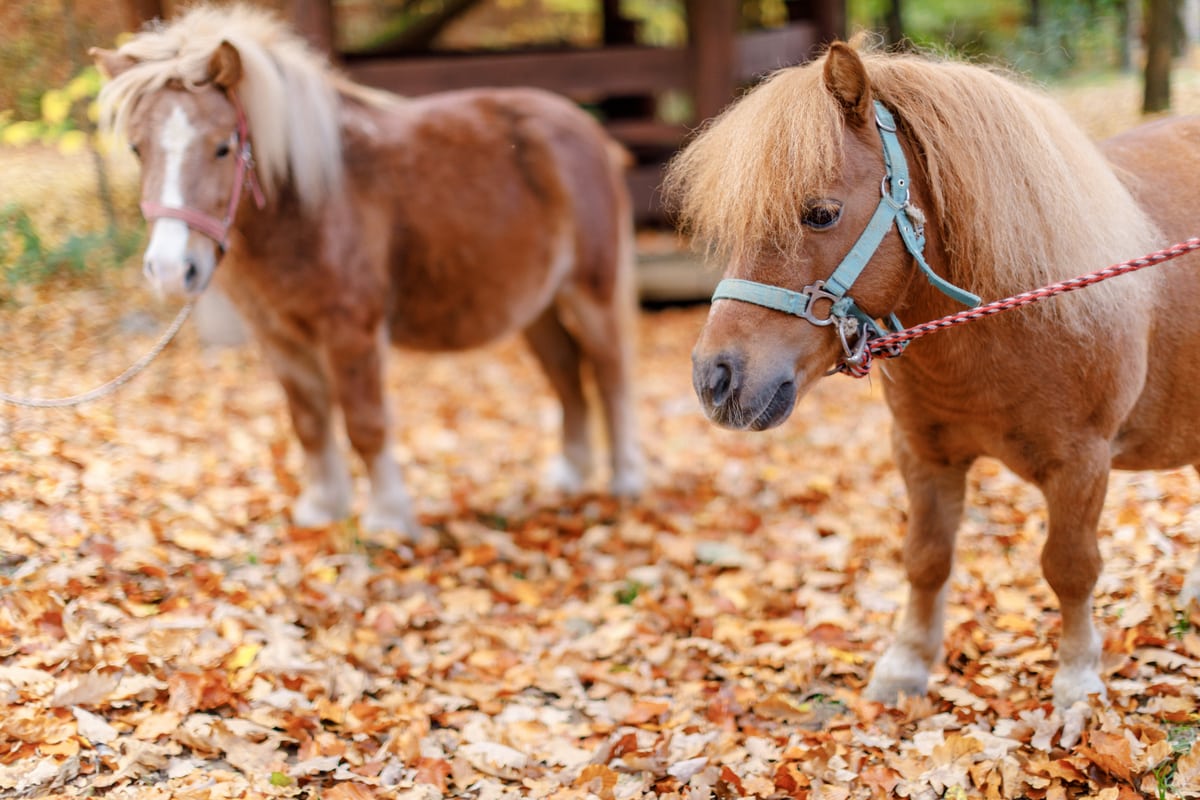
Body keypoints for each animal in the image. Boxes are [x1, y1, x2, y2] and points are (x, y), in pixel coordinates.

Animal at [88, 4, 643, 537]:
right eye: (137, 147)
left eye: (223, 146)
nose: (169, 268)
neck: (310, 203)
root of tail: (589, 132)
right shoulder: (279, 338)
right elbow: (309, 422)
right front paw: (322, 508)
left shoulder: (350, 334)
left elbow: (365, 423)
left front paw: (388, 519)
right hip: (537, 309)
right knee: (567, 371)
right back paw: (570, 474)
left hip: (589, 293)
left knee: (611, 372)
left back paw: (625, 480)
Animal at [672, 40, 1200, 710]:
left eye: (820, 214)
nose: (714, 378)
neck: (1007, 317)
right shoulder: (923, 454)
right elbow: (926, 558)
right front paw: (907, 664)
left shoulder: (1082, 464)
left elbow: (1070, 567)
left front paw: (1077, 677)